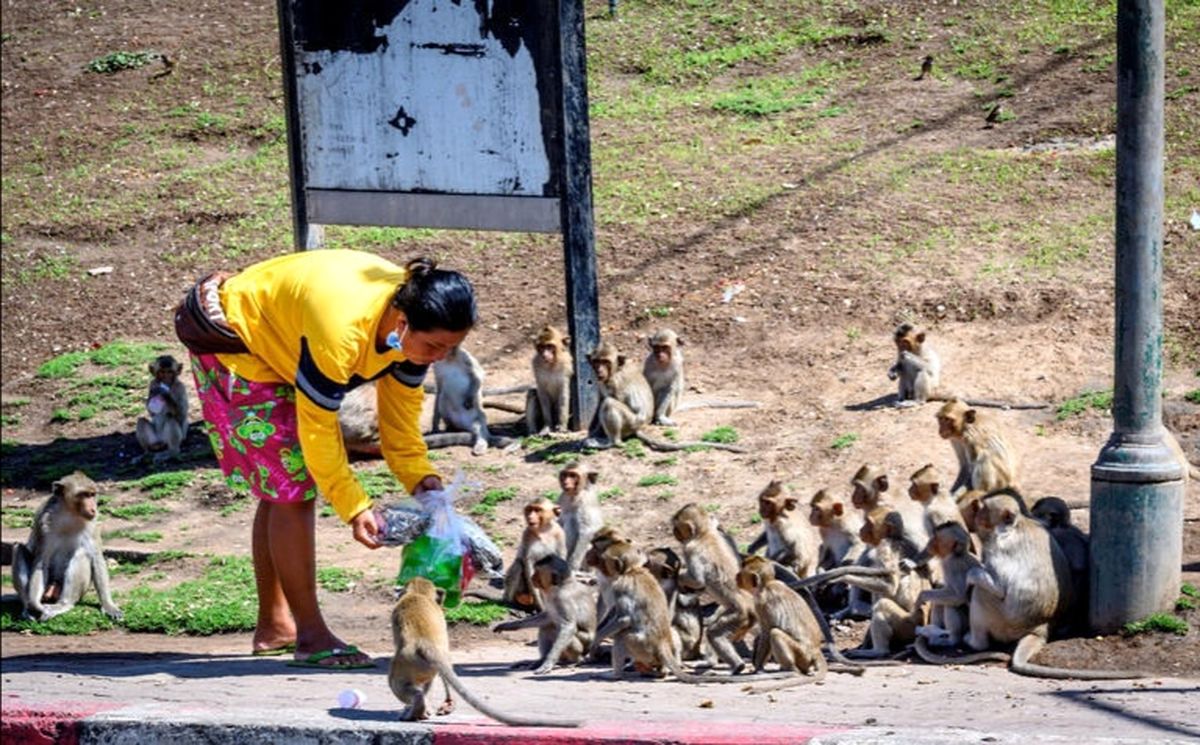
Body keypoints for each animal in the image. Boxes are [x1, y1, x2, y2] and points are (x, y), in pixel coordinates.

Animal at [13, 470, 123, 623]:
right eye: (84, 495)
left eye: (92, 494)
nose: (93, 508)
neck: (70, 513)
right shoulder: (44, 522)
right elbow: (41, 562)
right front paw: (34, 605)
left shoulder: (92, 524)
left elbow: (96, 558)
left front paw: (108, 605)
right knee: (18, 549)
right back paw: (27, 608)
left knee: (82, 554)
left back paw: (64, 604)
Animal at [391, 573, 583, 724]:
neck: (418, 594)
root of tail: (426, 646)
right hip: (426, 666)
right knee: (428, 680)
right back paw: (422, 708)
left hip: (407, 662)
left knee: (396, 684)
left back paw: (416, 705)